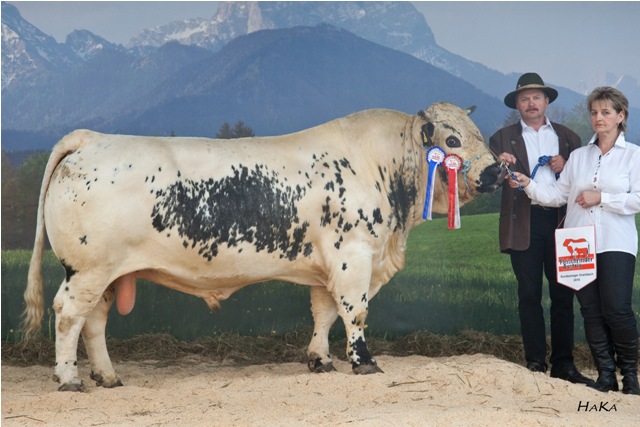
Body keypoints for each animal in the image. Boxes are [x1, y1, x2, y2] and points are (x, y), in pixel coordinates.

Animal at [23, 102, 502, 392]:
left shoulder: (328, 266)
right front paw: (363, 361)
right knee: (68, 315)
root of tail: (91, 138)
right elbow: (355, 312)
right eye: (453, 140)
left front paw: (320, 361)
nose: (497, 173)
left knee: (94, 322)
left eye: (481, 133)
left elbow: (324, 313)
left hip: (106, 274)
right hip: (87, 269)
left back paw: (107, 376)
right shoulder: (354, 257)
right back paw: (69, 379)